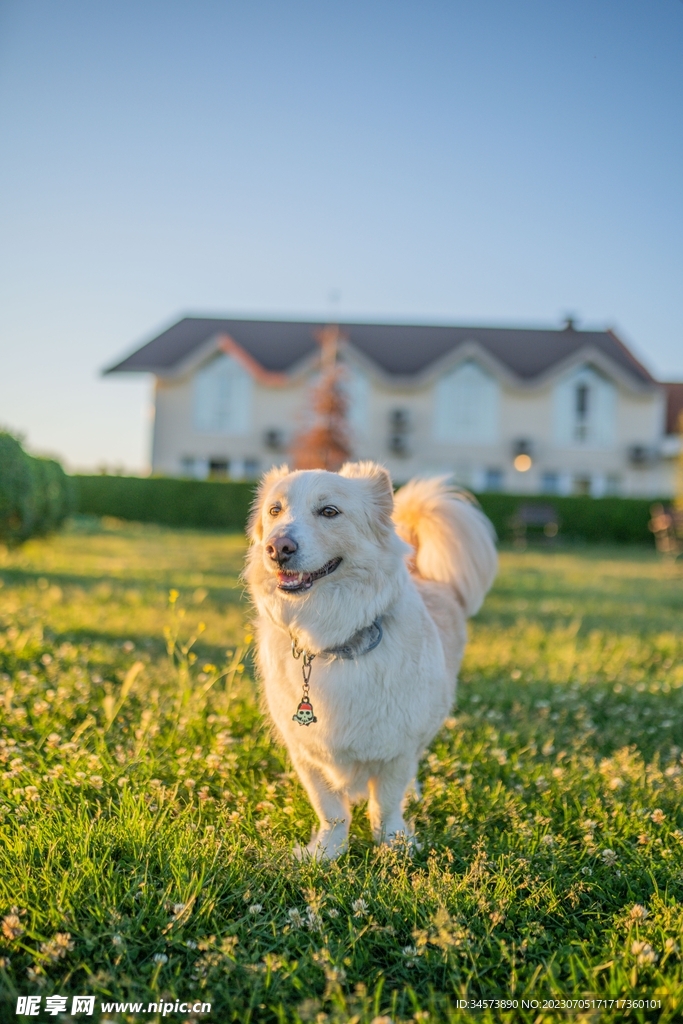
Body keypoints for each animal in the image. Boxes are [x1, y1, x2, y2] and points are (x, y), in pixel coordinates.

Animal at [245, 462, 497, 856]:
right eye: (275, 510)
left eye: (329, 511)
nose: (277, 547)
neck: (332, 638)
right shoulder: (307, 755)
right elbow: (332, 811)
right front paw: (326, 853)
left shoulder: (398, 749)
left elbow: (386, 805)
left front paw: (394, 844)